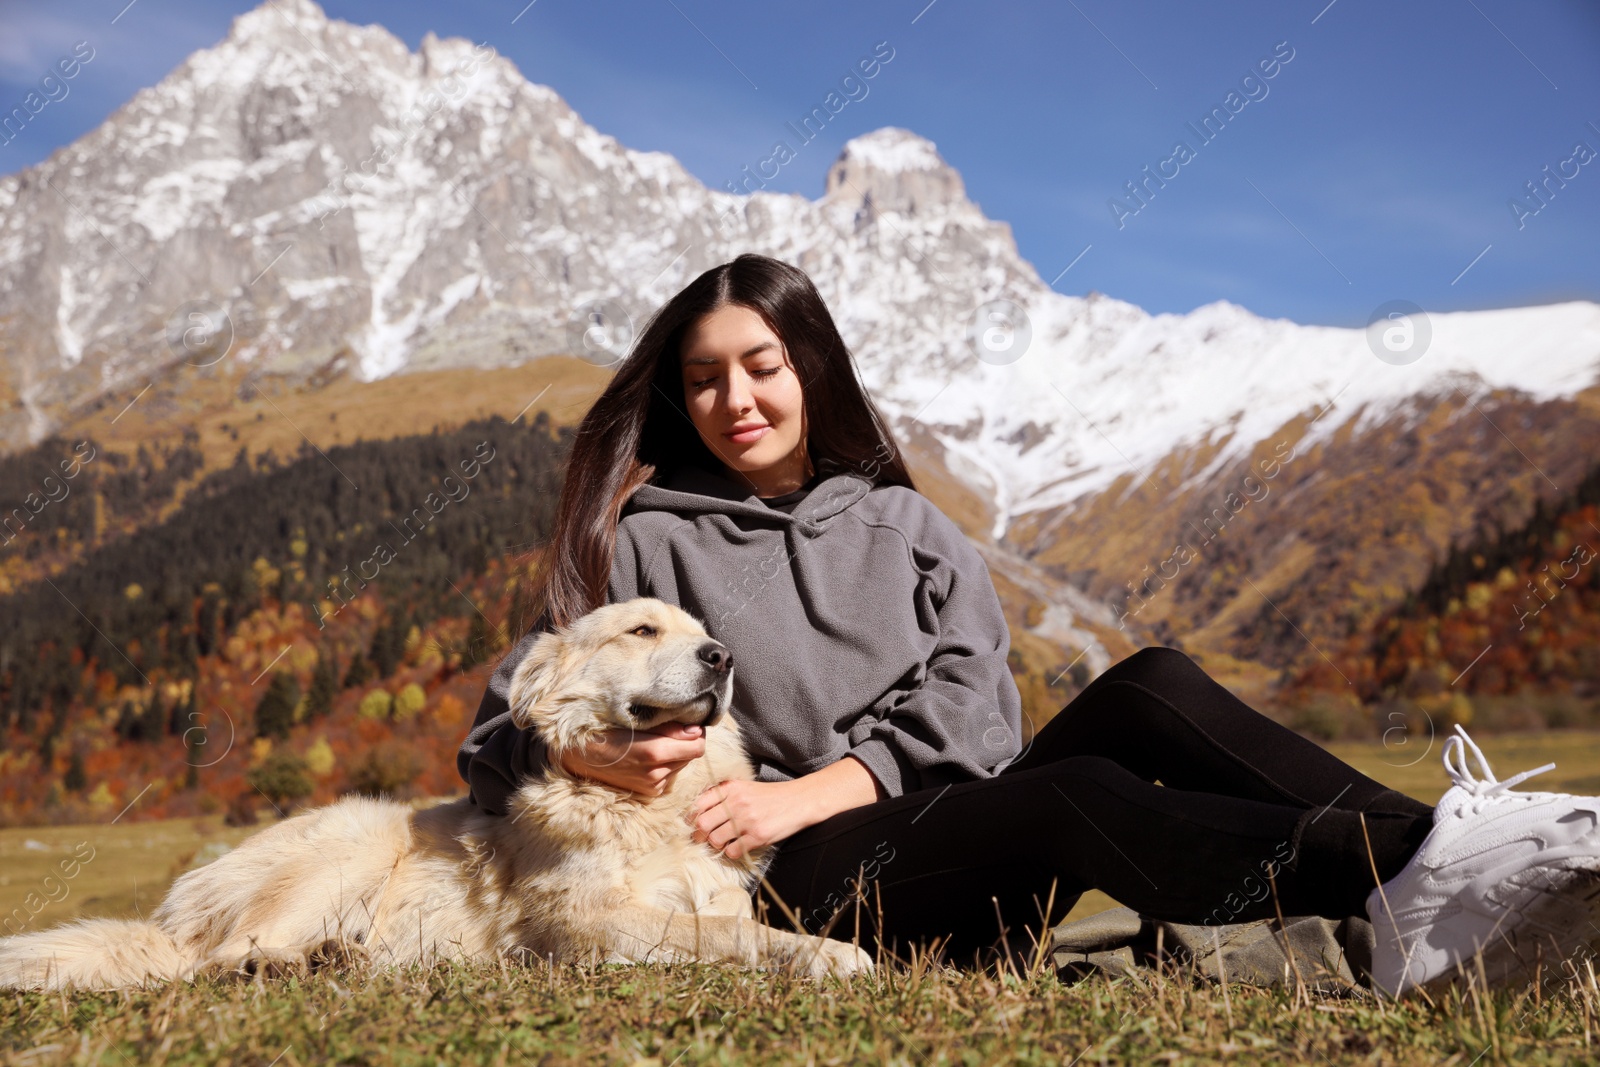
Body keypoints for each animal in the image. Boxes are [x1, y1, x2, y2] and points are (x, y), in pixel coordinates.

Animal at [0, 601, 876, 991]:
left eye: (699, 630)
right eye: (642, 631)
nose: (722, 656)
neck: (646, 806)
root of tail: (171, 914)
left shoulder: (709, 892)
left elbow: (732, 924)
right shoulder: (581, 924)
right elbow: (732, 936)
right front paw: (832, 952)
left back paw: (336, 956)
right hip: (354, 839)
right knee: (214, 958)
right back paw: (294, 961)